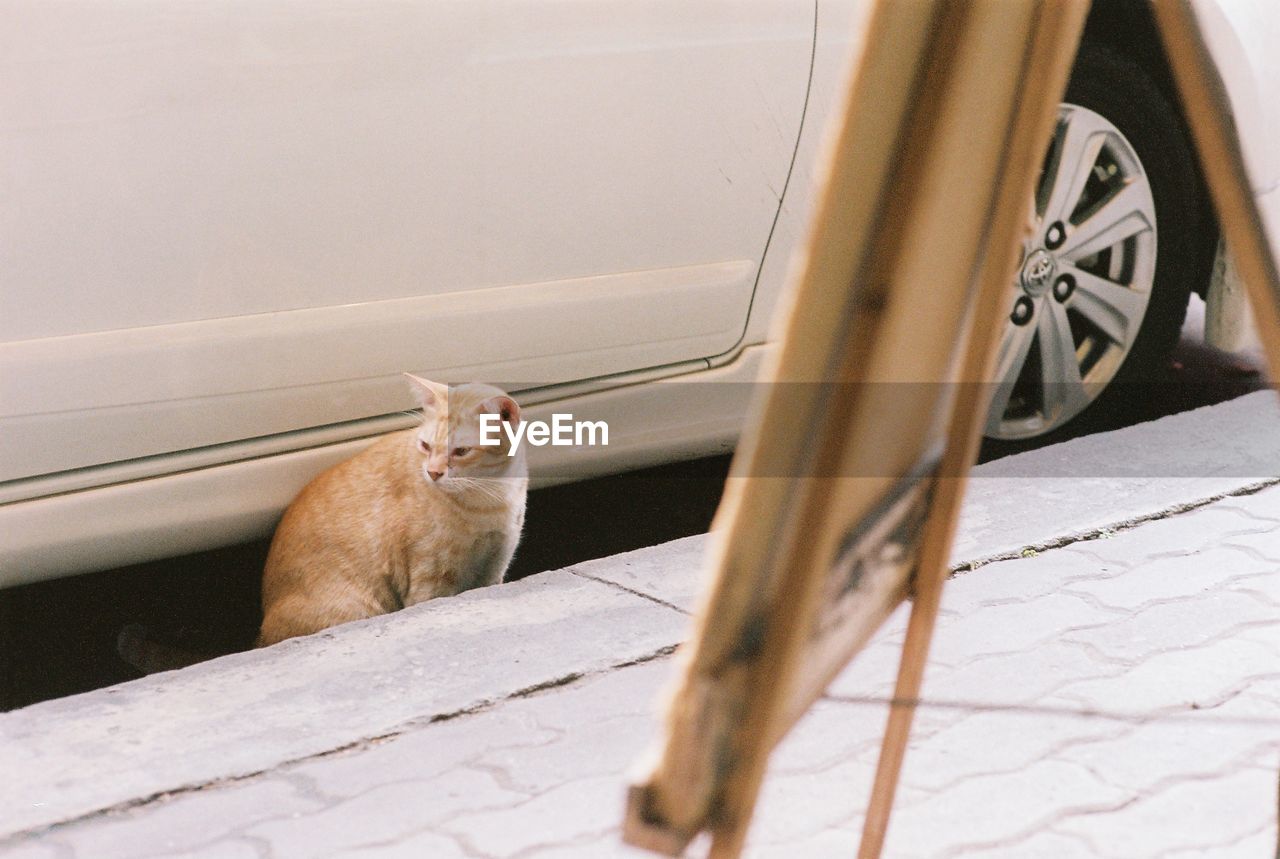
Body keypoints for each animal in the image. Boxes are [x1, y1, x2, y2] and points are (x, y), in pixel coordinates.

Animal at [257, 373, 527, 645]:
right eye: (425, 446)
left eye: (461, 451)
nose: (433, 473)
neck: (489, 499)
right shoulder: (430, 583)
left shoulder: (495, 568)